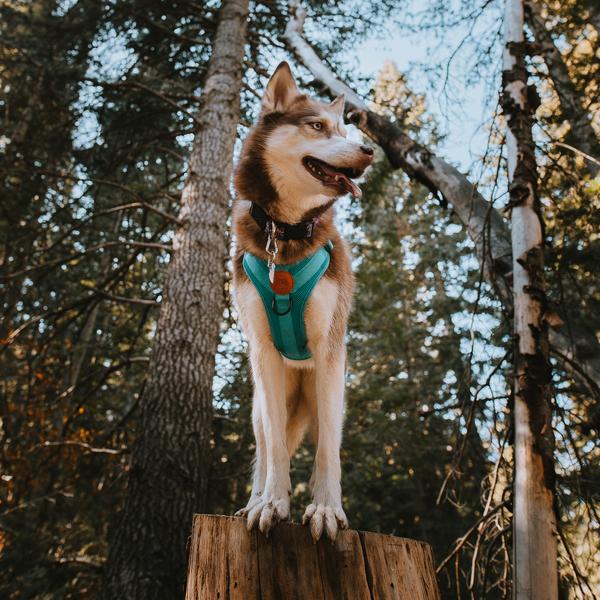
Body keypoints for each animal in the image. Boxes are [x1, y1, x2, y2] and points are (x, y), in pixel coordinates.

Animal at [232, 63, 372, 540]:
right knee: (263, 448)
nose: (370, 150)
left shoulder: (329, 353)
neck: (286, 231)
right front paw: (271, 504)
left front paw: (327, 510)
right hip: (262, 403)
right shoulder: (262, 353)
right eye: (317, 126)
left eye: (344, 128)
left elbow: (328, 449)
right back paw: (255, 499)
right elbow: (274, 449)